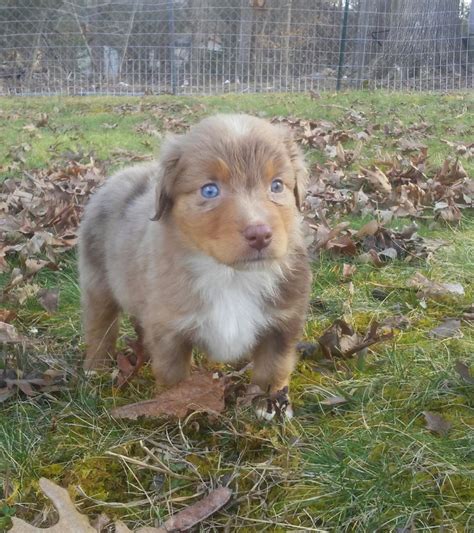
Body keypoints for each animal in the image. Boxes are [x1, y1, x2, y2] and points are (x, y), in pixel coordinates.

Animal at [78, 113, 312, 416]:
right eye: (210, 190)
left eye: (277, 186)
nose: (260, 234)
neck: (230, 275)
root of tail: (123, 174)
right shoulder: (169, 328)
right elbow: (172, 374)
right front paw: (174, 406)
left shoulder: (283, 322)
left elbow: (273, 368)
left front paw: (268, 406)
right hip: (97, 282)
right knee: (100, 327)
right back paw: (96, 368)